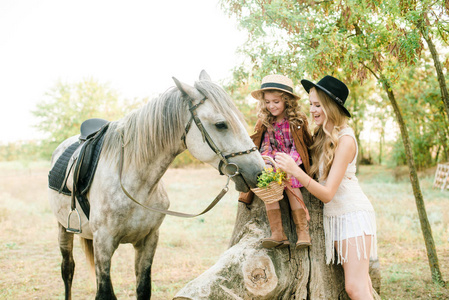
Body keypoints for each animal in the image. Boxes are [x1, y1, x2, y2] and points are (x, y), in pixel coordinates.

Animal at [48, 71, 266, 300]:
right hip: (63, 228)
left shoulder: (148, 240)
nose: (259, 172)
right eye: (221, 124)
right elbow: (105, 293)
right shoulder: (103, 244)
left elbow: (144, 288)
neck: (135, 184)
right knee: (68, 269)